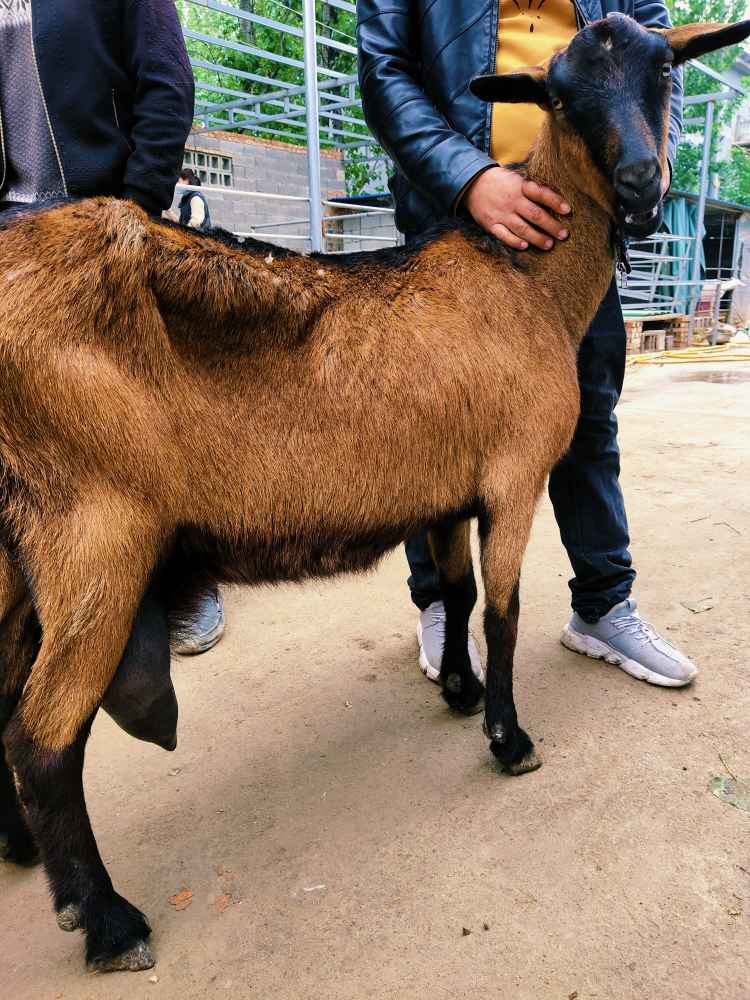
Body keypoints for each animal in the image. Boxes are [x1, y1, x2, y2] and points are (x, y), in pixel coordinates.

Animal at [0, 15, 748, 976]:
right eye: (561, 95)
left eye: (665, 71)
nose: (642, 187)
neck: (526, 281)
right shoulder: (515, 474)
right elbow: (504, 611)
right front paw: (508, 739)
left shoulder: (450, 488)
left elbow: (458, 595)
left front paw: (460, 691)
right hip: (93, 532)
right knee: (43, 734)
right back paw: (106, 921)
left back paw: (24, 850)